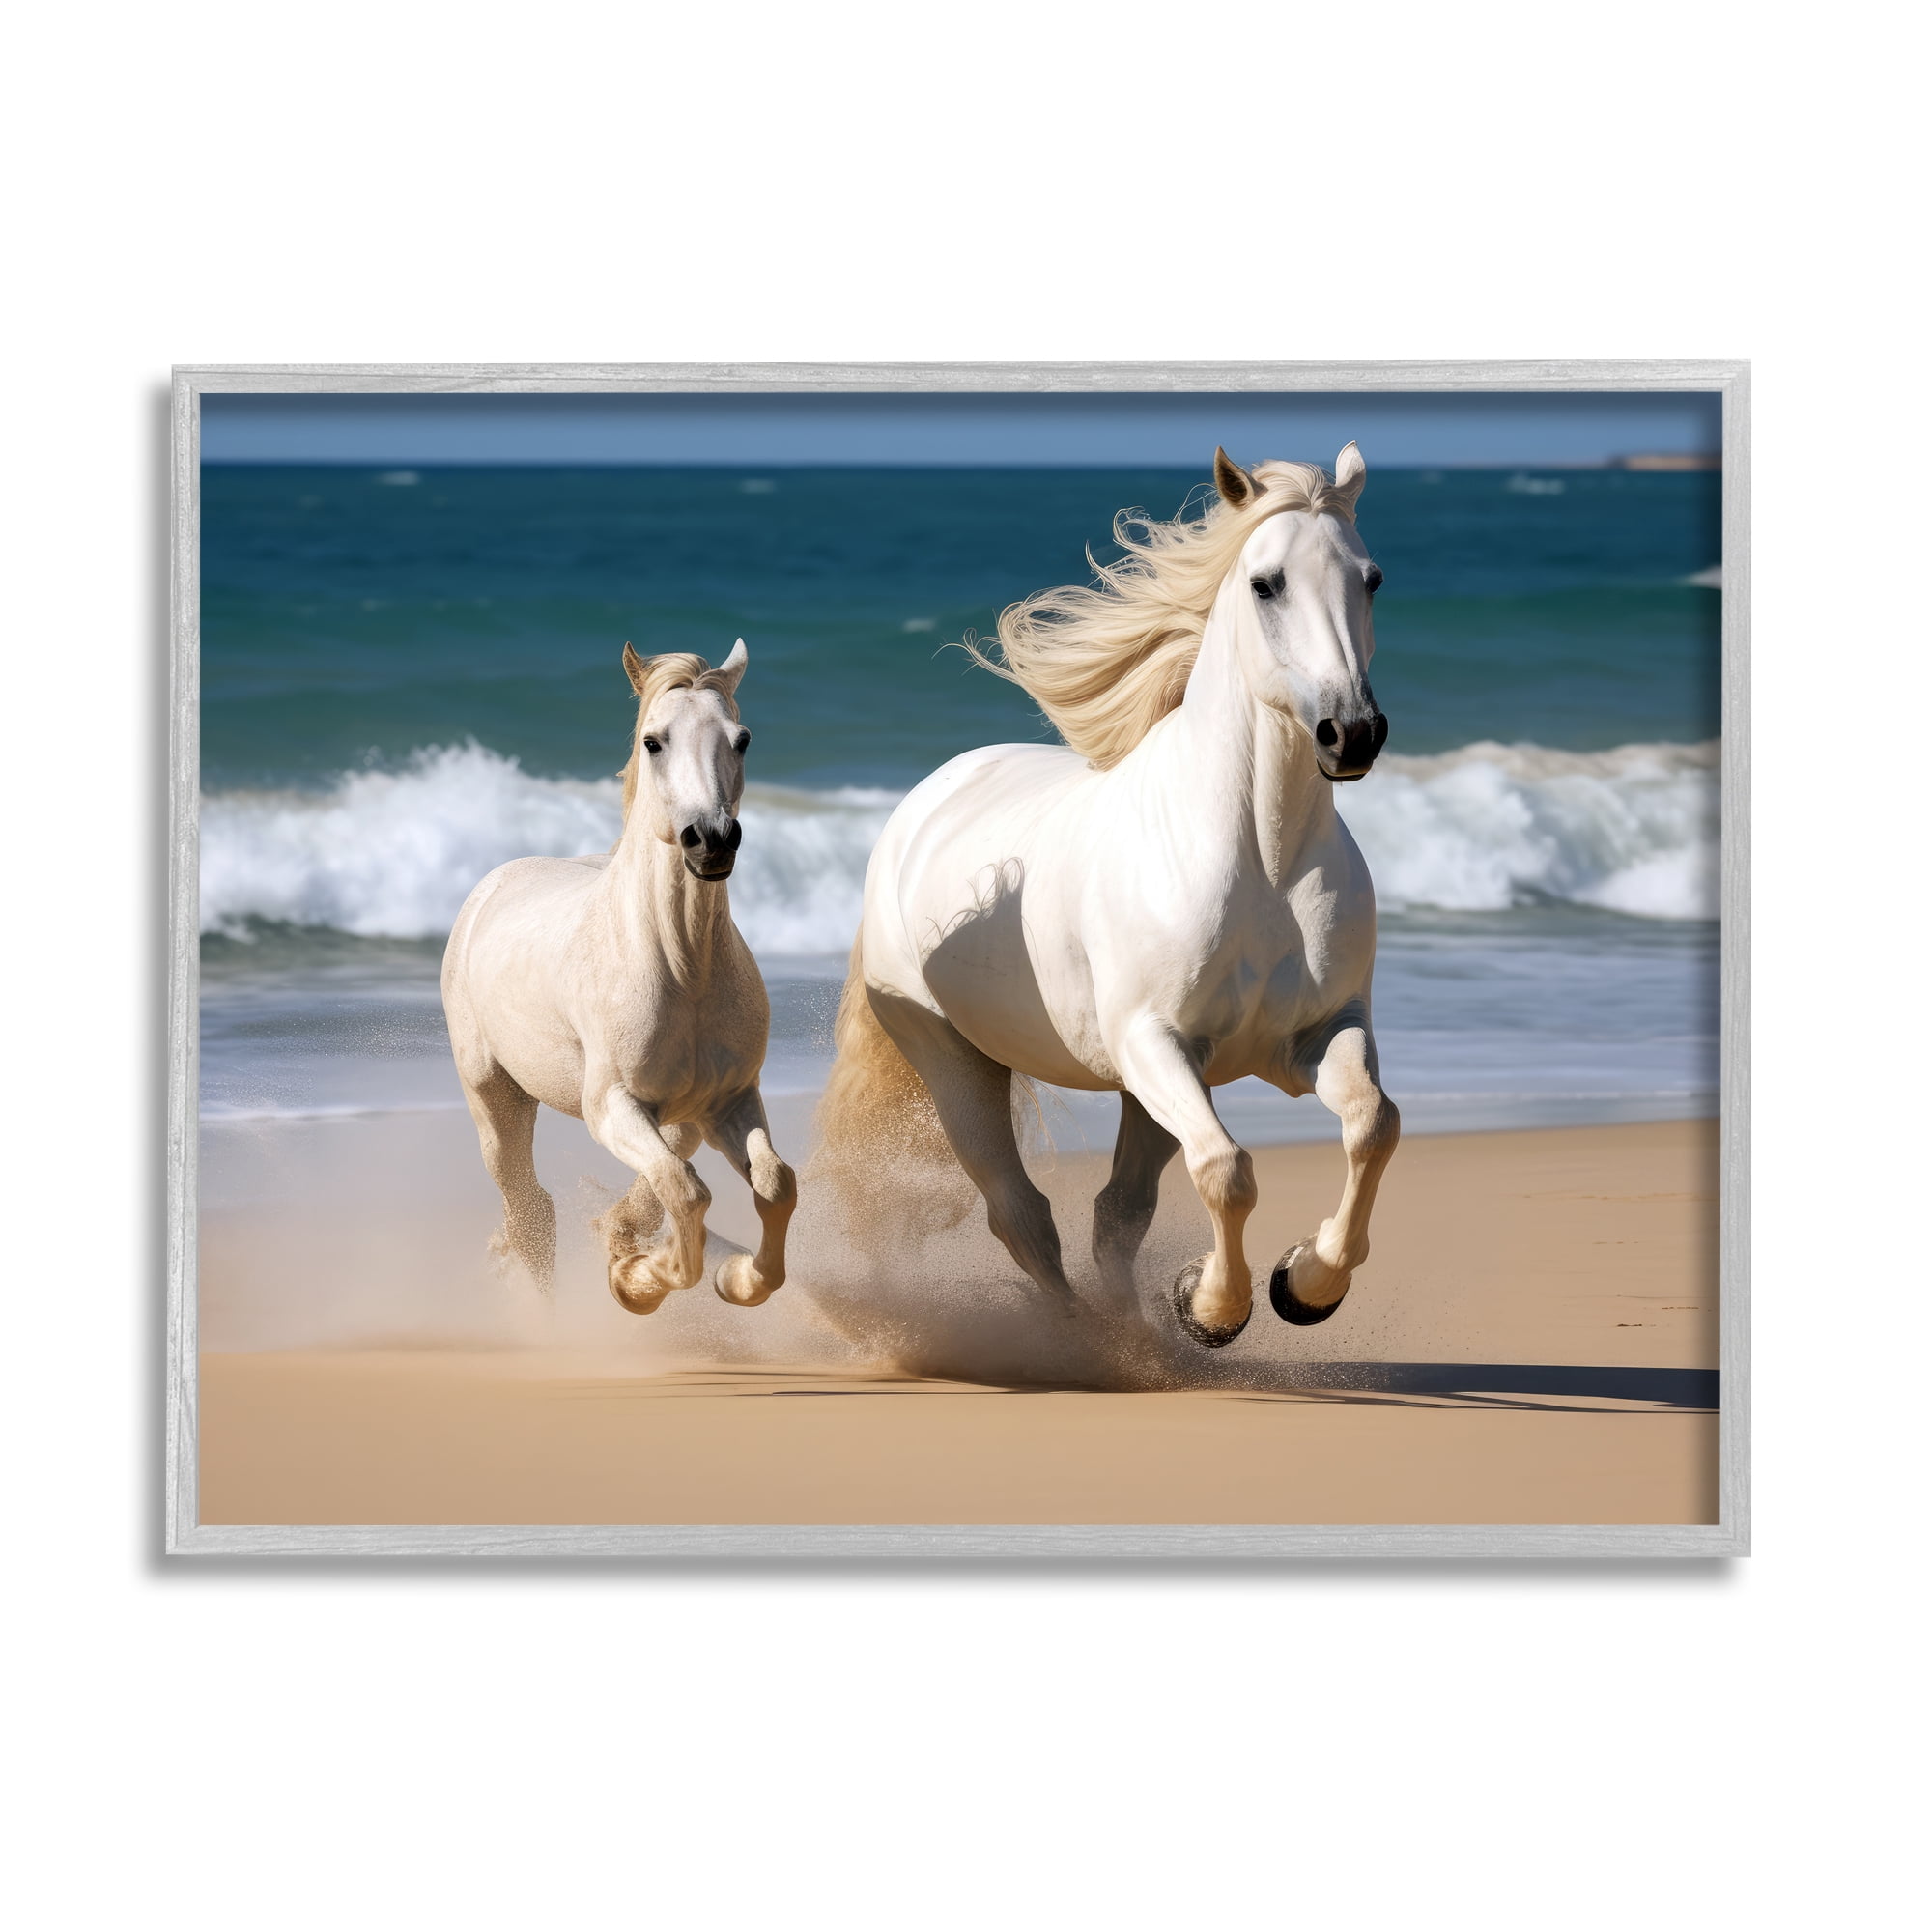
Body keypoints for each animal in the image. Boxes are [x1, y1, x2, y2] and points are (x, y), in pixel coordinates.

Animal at [441, 640, 797, 1316]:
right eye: (654, 741)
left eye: (741, 739)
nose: (711, 841)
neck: (682, 970)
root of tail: (491, 885)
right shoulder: (611, 1107)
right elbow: (687, 1193)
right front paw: (635, 1281)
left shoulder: (731, 1100)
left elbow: (774, 1183)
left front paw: (735, 1279)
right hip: (496, 1099)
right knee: (530, 1214)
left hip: (681, 1118)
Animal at [817, 446, 1399, 1348]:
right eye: (1265, 583)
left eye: (1370, 579)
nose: (1353, 733)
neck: (1261, 866)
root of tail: (923, 802)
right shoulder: (1154, 1044)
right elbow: (1227, 1170)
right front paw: (1211, 1309)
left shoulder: (1313, 1036)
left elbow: (1372, 1126)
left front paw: (1302, 1285)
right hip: (957, 1062)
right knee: (1021, 1215)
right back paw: (1092, 1345)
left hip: (1141, 1093)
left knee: (1113, 1214)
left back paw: (1136, 1336)